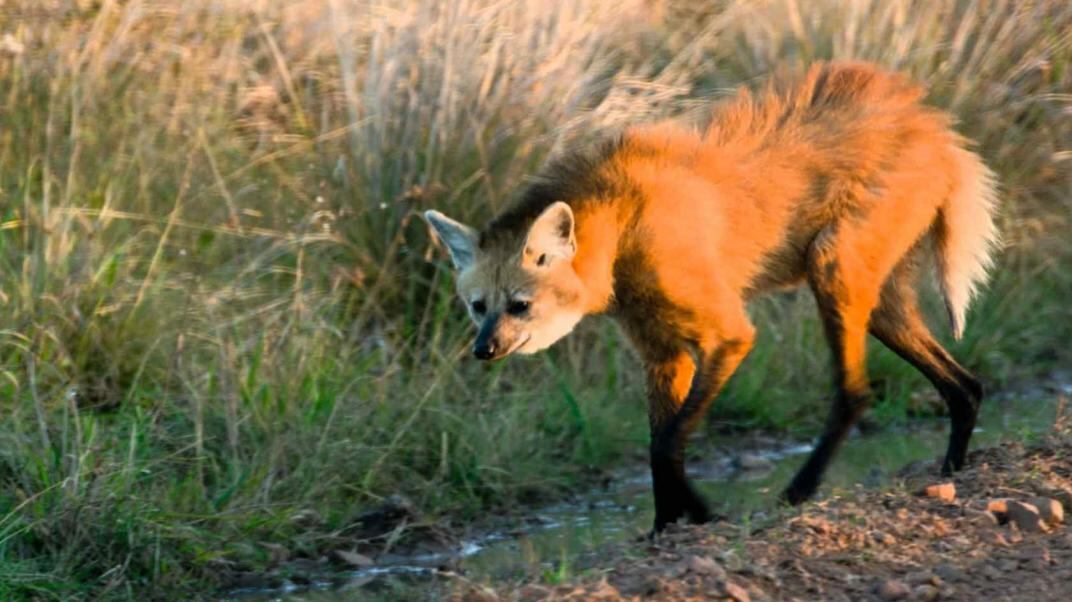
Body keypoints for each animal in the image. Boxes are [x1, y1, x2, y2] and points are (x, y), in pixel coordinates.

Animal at [418, 61, 994, 529]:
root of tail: (936, 126)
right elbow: (657, 442)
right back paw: (952, 470)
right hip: (878, 300)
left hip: (831, 266)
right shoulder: (663, 353)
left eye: (519, 305)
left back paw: (801, 489)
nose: (483, 350)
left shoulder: (728, 336)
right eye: (477, 307)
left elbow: (669, 442)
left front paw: (699, 514)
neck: (623, 226)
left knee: (855, 391)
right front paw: (665, 528)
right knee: (965, 386)